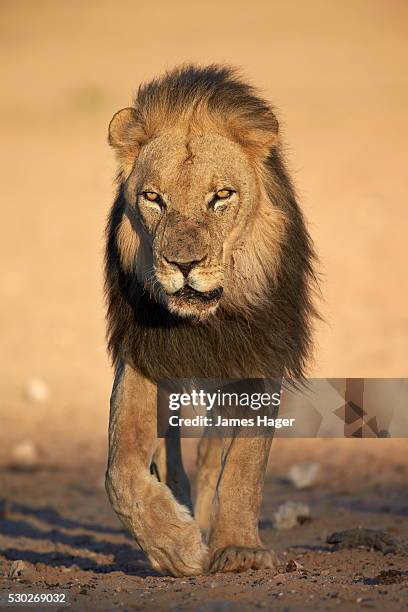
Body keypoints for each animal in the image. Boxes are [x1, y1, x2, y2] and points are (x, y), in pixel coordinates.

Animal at [103, 64, 318, 576]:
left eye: (222, 196)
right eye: (153, 198)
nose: (184, 265)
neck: (206, 319)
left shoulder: (260, 350)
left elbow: (242, 462)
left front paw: (238, 548)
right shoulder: (143, 350)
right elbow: (121, 469)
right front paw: (174, 547)